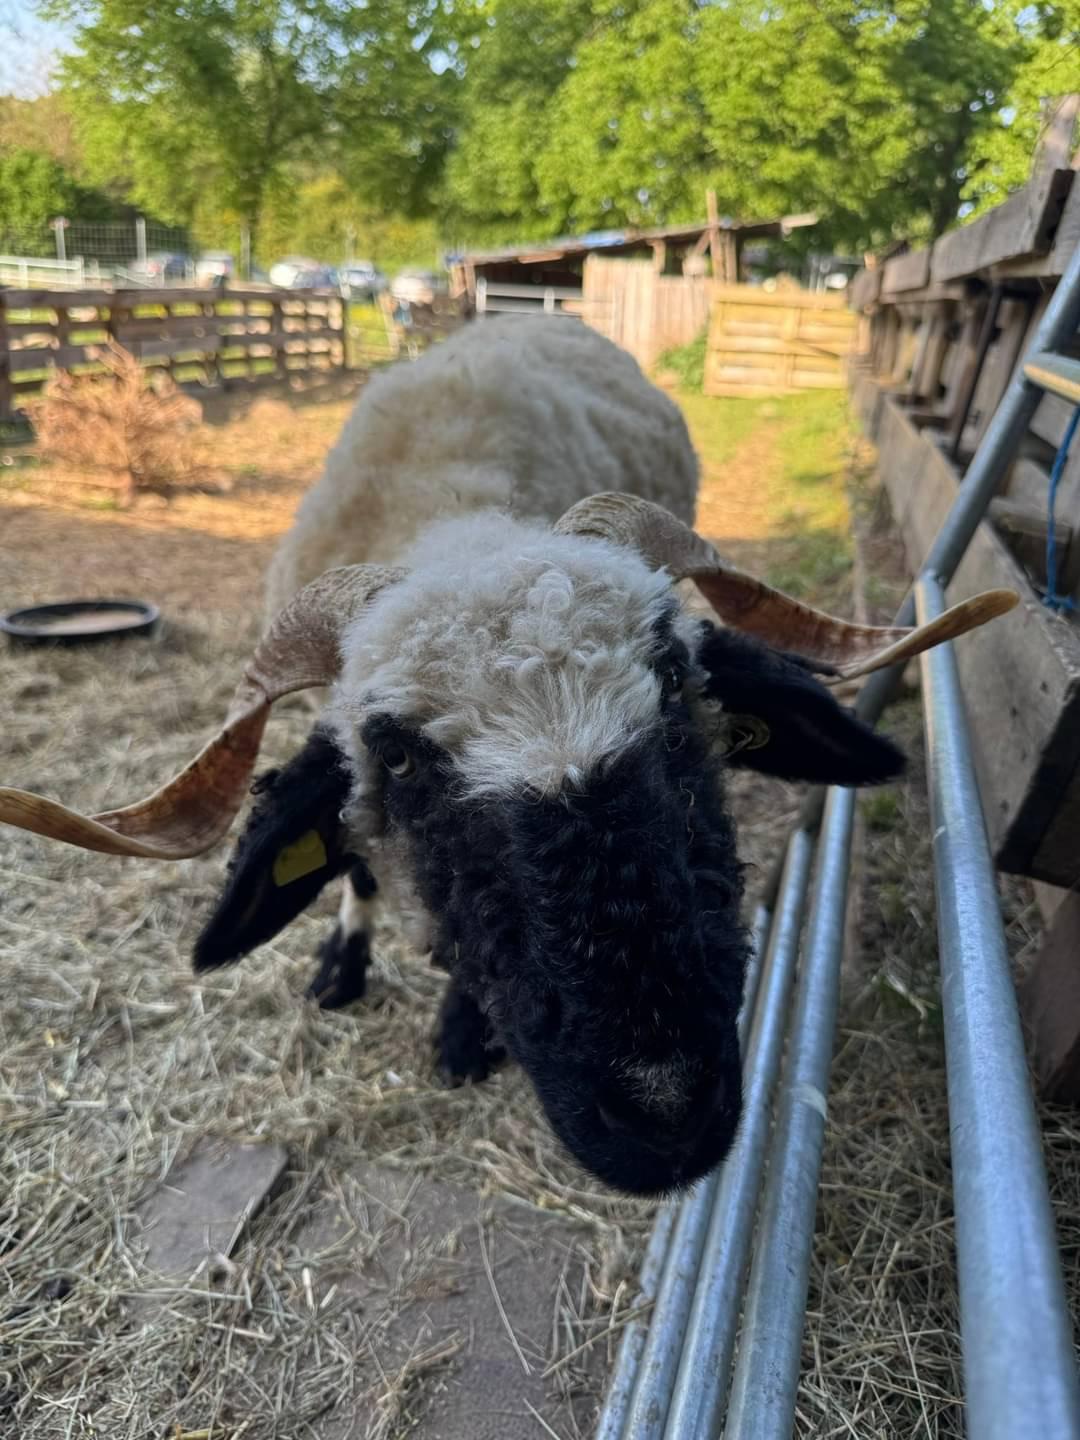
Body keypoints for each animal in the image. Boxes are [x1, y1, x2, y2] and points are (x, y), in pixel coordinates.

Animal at [0, 316, 1018, 1196]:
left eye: (674, 683)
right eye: (399, 759)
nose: (664, 1110)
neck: (452, 512)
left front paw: (461, 1031)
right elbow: (359, 863)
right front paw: (343, 968)